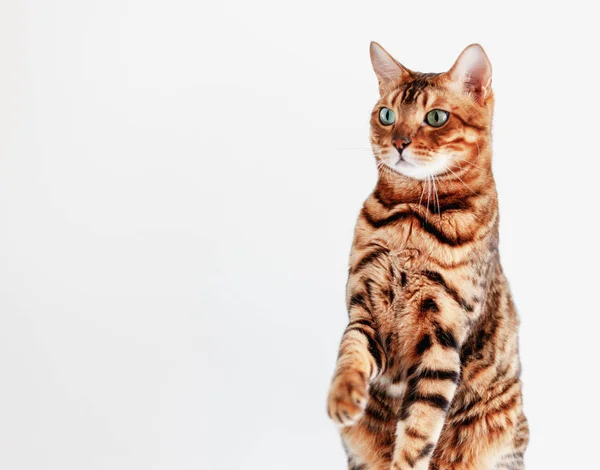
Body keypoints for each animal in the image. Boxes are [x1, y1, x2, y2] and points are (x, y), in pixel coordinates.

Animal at [326, 44, 528, 470]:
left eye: (436, 117)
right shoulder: (366, 309)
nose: (399, 142)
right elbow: (350, 352)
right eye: (386, 115)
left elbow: (419, 431)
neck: (411, 215)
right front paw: (343, 395)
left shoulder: (442, 339)